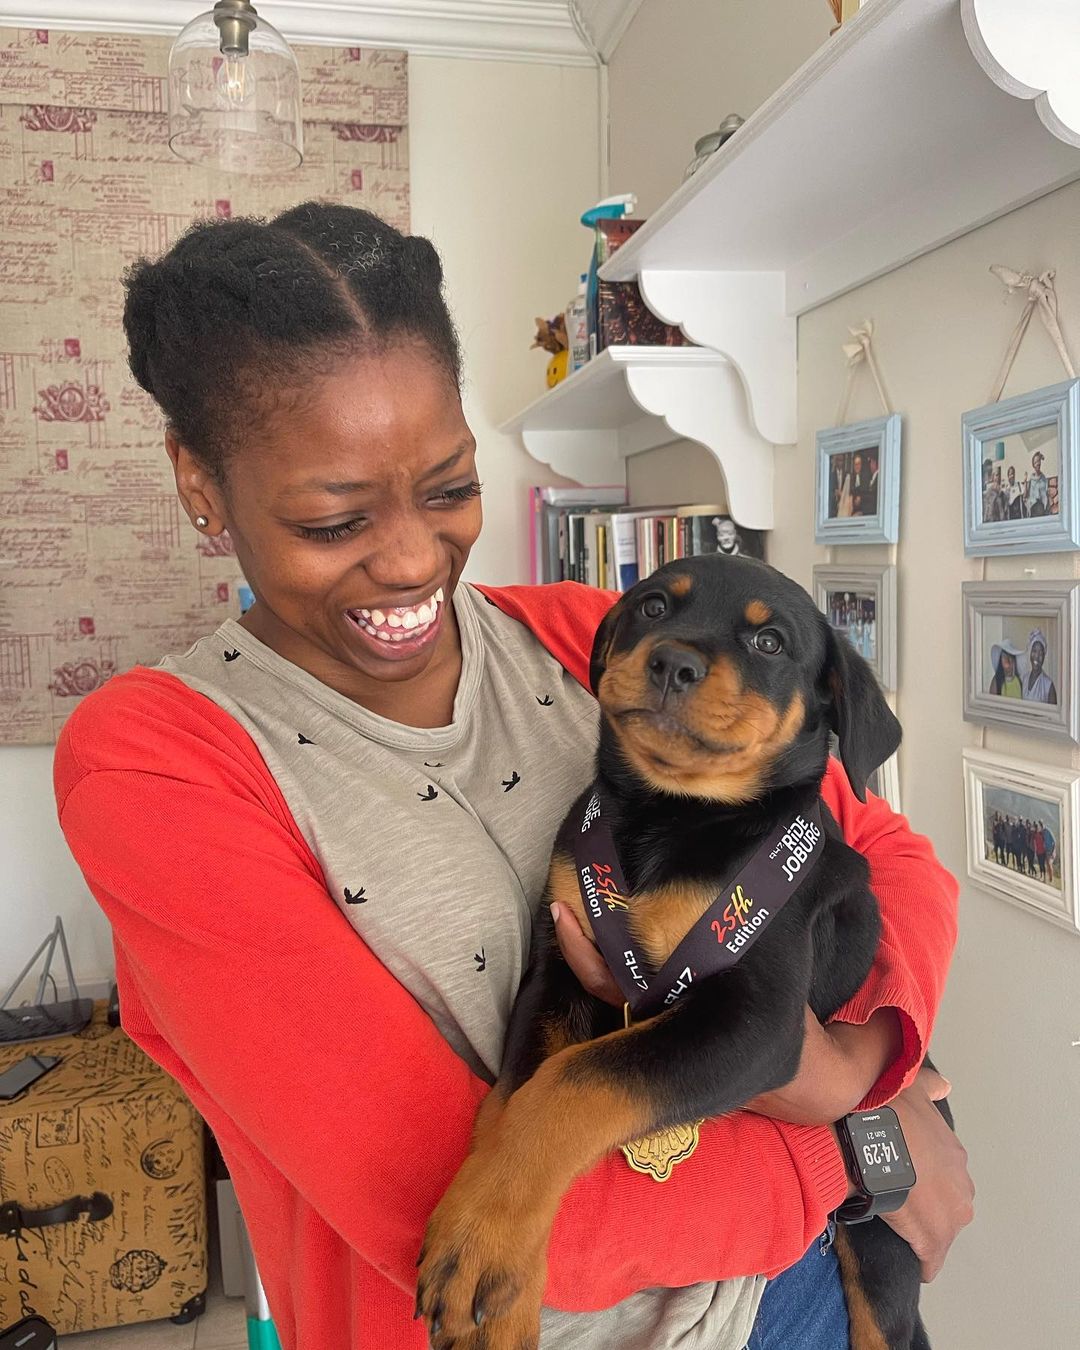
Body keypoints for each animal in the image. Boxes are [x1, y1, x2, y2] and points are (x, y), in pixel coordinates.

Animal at [418, 553, 945, 1344]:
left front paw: (483, 1245)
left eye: (769, 643)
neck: (669, 816)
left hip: (885, 1251)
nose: (672, 662)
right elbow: (510, 1099)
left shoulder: (755, 1024)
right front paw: (494, 1273)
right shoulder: (555, 970)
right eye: (654, 606)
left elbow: (573, 1083)